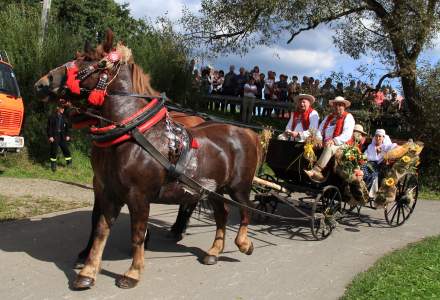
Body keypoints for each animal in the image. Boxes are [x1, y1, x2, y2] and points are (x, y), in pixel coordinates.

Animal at [35, 32, 262, 288]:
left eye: (90, 60)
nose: (42, 83)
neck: (132, 133)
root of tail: (248, 133)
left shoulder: (139, 196)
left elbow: (137, 234)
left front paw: (133, 272)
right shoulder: (108, 191)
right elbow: (101, 228)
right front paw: (88, 271)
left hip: (239, 188)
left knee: (245, 211)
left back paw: (243, 243)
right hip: (212, 189)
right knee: (222, 213)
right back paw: (213, 251)